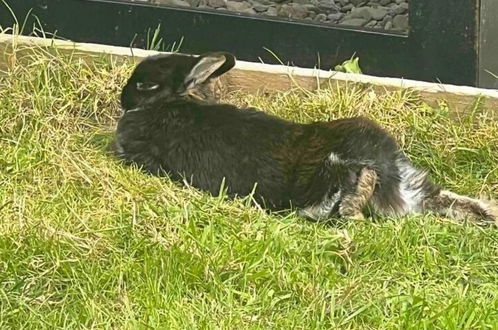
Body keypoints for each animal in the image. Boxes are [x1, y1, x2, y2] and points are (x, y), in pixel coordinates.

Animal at [114, 52, 498, 224]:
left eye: (145, 84)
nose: (122, 98)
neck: (172, 101)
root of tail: (386, 165)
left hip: (324, 181)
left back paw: (352, 212)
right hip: (414, 186)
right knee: (444, 198)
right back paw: (489, 213)